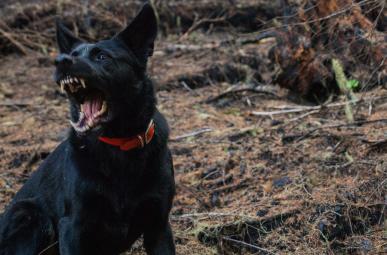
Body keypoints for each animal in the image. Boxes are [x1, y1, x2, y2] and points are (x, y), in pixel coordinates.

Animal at [0, 3, 176, 255]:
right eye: (73, 55)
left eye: (102, 56)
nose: (60, 60)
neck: (119, 145)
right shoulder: (72, 225)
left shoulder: (158, 225)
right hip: (30, 215)